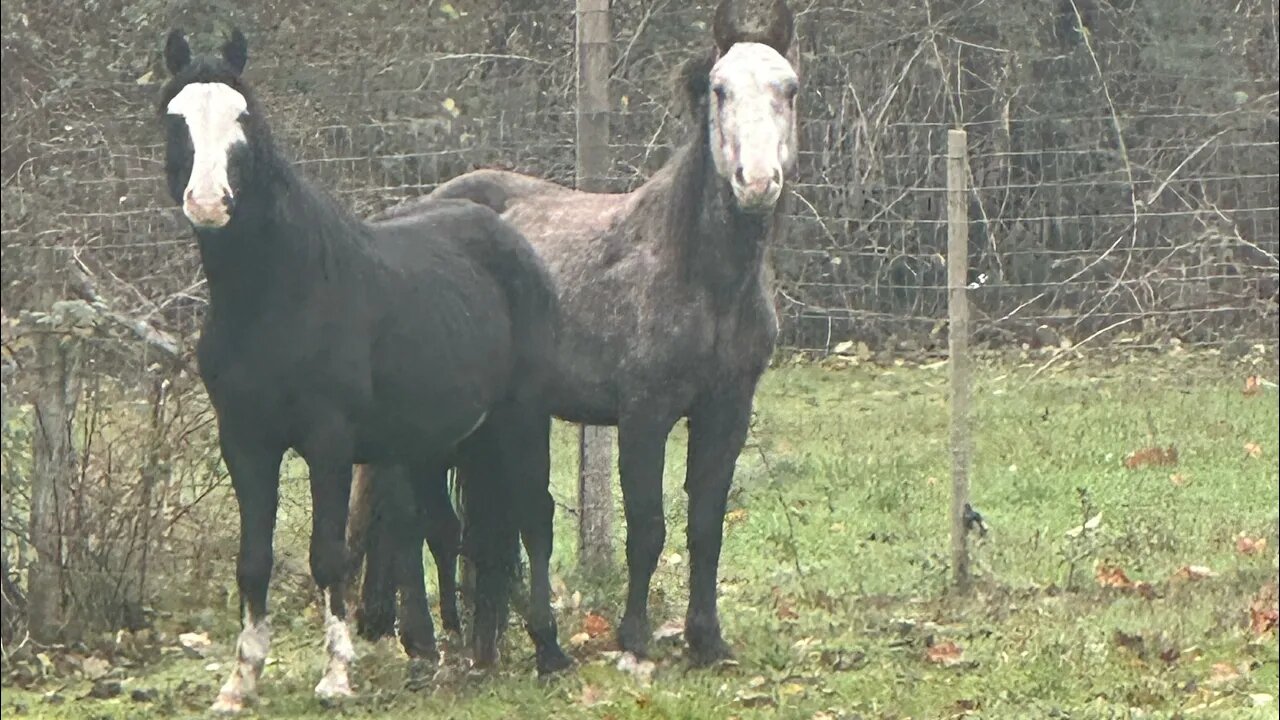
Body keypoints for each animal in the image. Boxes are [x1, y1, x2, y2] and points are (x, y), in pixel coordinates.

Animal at [158, 28, 565, 712]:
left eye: (244, 118)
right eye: (176, 118)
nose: (209, 202)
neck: (277, 290)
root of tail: (511, 241)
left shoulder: (327, 444)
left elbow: (329, 556)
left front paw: (335, 678)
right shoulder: (244, 443)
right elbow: (253, 560)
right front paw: (240, 682)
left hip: (522, 418)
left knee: (535, 516)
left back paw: (549, 651)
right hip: (436, 442)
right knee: (445, 530)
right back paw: (452, 656)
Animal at [353, 0, 798, 666]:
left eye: (789, 89)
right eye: (719, 90)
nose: (757, 181)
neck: (697, 273)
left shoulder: (728, 412)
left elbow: (705, 526)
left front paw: (706, 639)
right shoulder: (644, 415)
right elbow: (647, 527)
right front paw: (634, 638)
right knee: (403, 516)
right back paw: (420, 638)